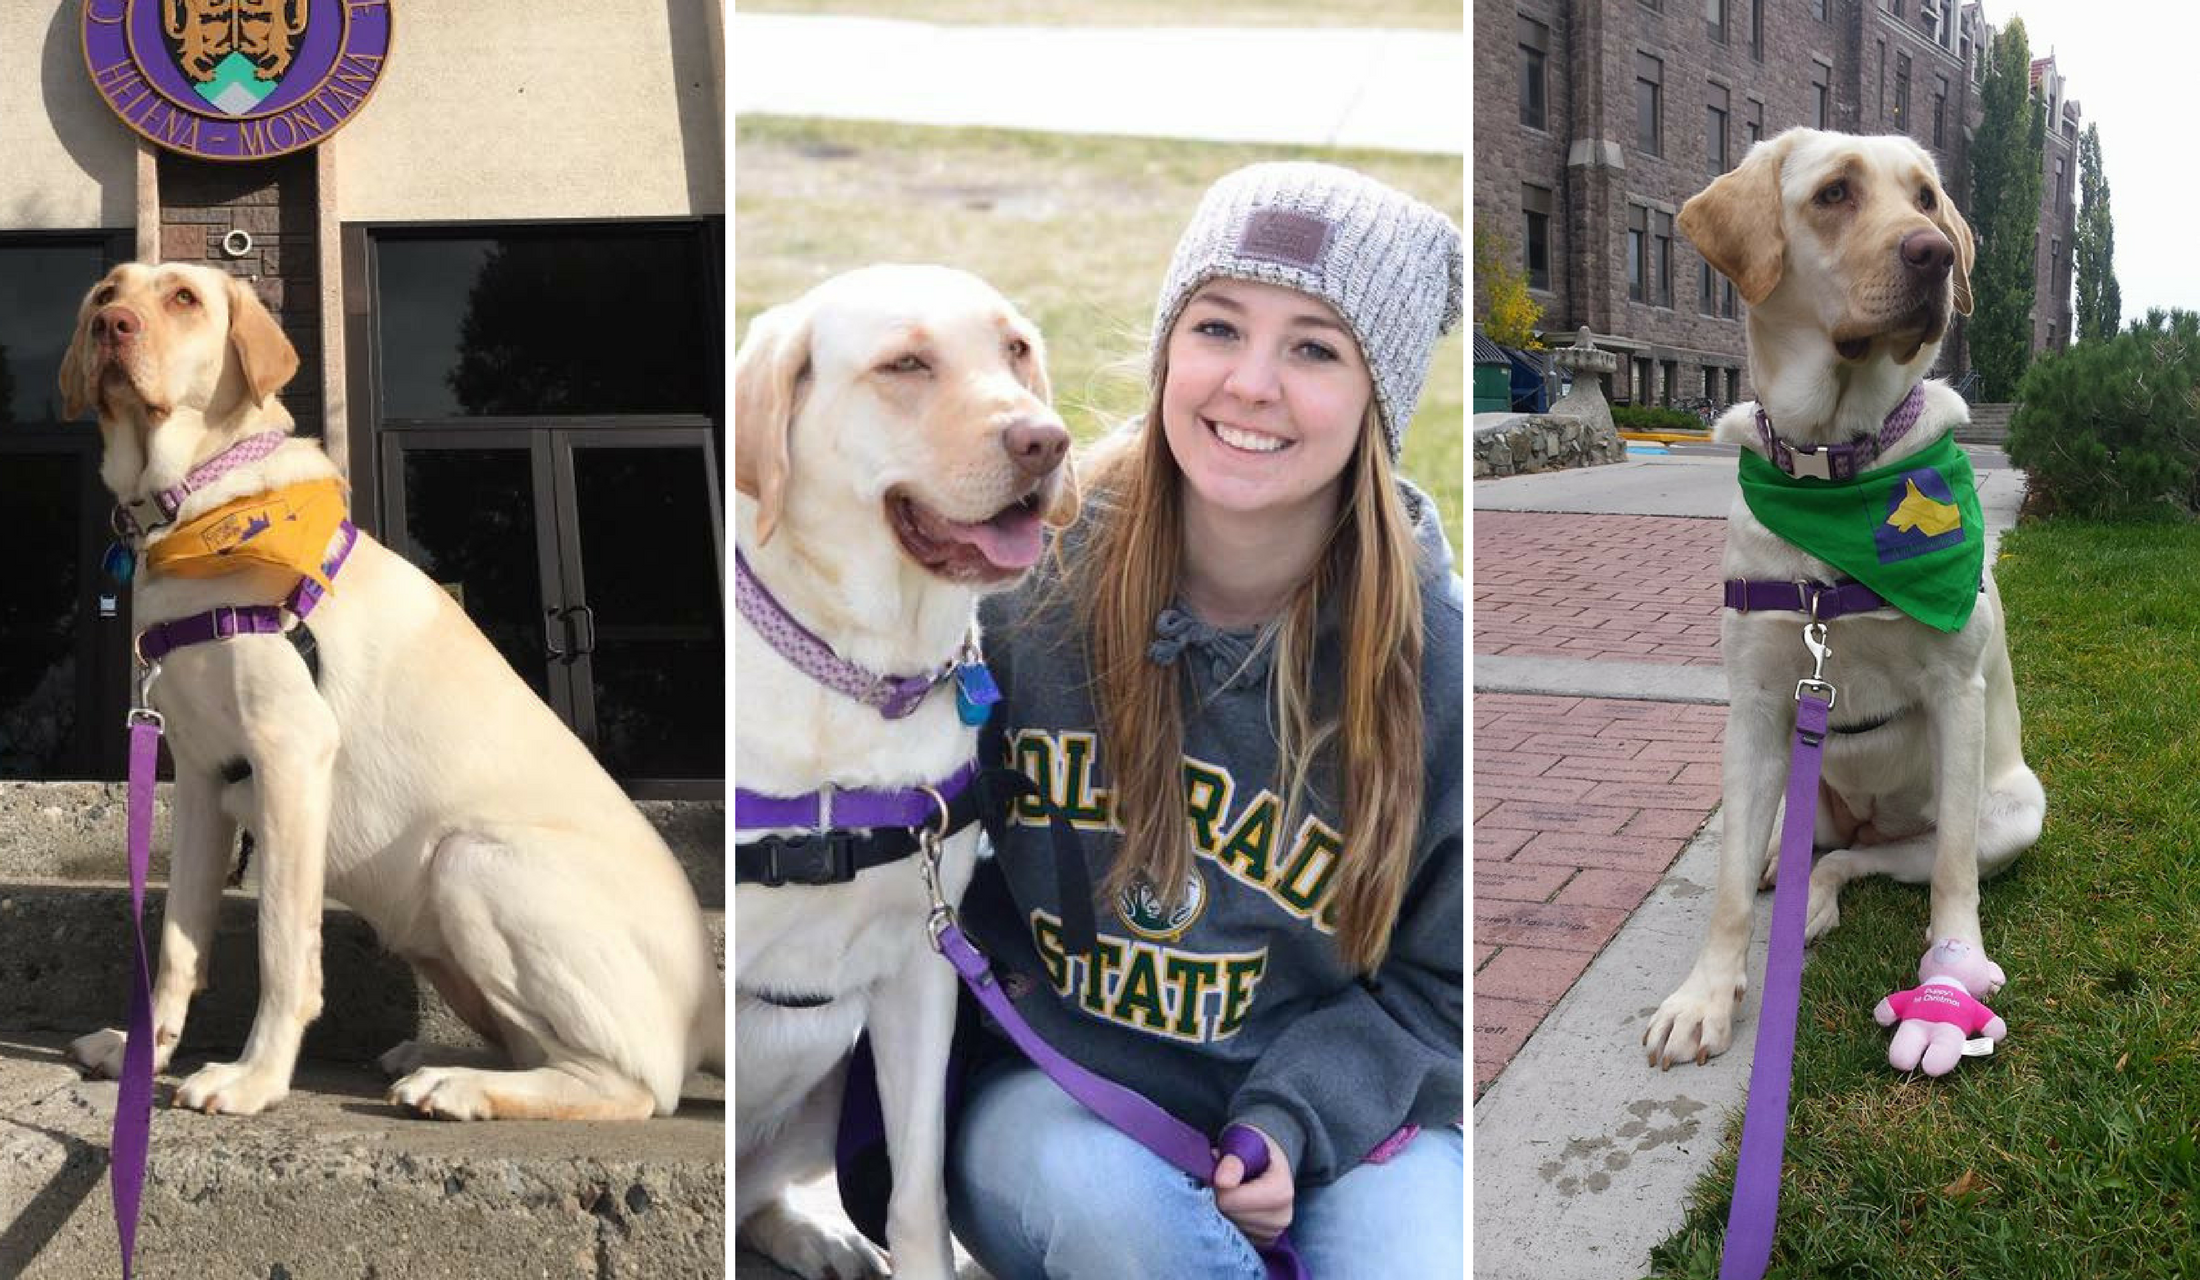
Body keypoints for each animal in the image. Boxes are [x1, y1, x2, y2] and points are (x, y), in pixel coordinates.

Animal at [62, 263, 721, 1126]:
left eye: (183, 299)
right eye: (109, 292)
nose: (112, 327)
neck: (196, 509)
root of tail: (713, 1002)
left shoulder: (291, 756)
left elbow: (283, 946)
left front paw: (253, 1078)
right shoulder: (203, 778)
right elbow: (176, 941)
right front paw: (140, 1051)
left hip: (470, 860)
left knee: (633, 1085)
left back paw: (457, 1087)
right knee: (545, 1049)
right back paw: (434, 1058)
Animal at [734, 268, 1078, 1280]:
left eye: (1016, 349)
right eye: (906, 365)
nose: (1045, 440)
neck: (864, 676)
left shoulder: (924, 971)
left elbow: (920, 1191)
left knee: (755, 1194)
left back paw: (820, 1236)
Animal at [1645, 130, 2050, 1073]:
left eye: (1928, 198)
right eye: (1833, 193)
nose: (1936, 254)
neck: (1835, 468)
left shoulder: (1957, 693)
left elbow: (1952, 873)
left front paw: (1956, 969)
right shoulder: (1757, 704)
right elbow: (1725, 890)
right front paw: (1704, 996)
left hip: (2009, 816)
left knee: (1873, 862)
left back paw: (1824, 898)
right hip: (1804, 788)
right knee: (1798, 851)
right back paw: (1778, 869)